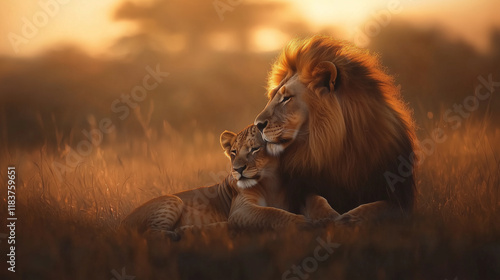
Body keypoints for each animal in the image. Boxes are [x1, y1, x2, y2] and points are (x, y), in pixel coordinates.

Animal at [120, 124, 336, 238]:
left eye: (254, 149)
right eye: (233, 152)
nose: (237, 169)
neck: (271, 182)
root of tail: (121, 224)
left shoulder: (303, 192)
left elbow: (320, 200)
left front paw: (333, 217)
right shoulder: (241, 210)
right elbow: (273, 213)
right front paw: (304, 222)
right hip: (173, 200)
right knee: (151, 234)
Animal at [256, 35, 416, 223]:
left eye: (286, 98)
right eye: (272, 96)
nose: (257, 125)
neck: (341, 147)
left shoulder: (400, 197)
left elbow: (376, 208)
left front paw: (350, 218)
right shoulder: (299, 190)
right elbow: (315, 201)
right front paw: (328, 217)